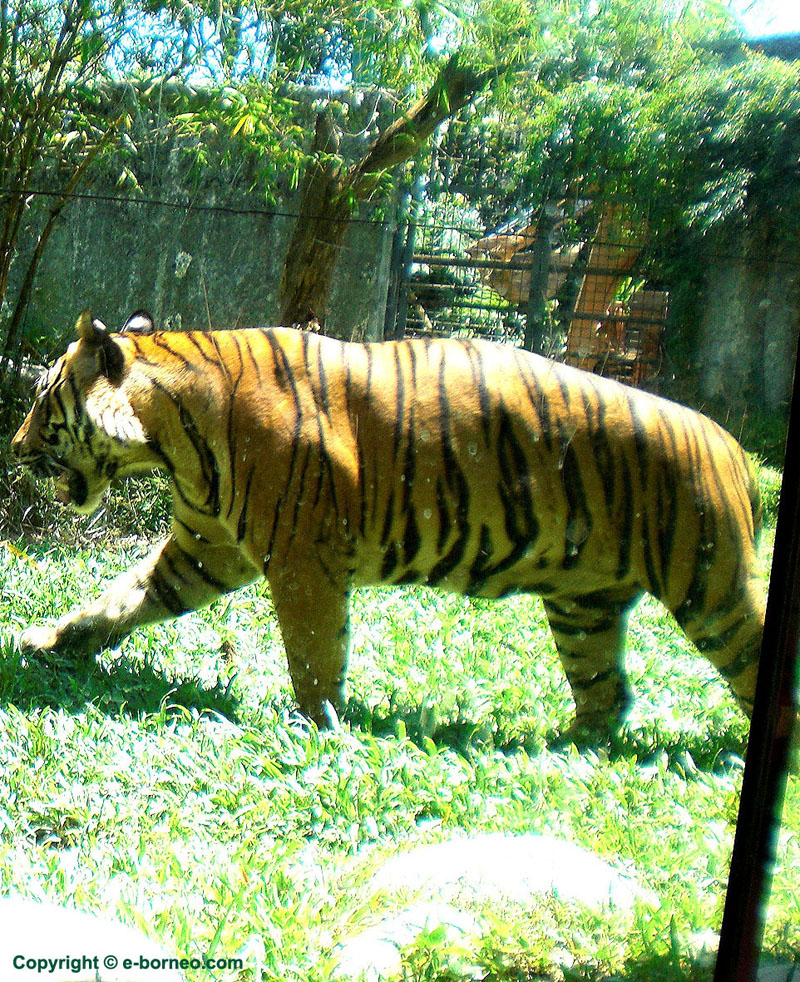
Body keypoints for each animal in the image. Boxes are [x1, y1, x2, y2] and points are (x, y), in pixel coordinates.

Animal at [10, 310, 764, 736]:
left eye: (44, 401)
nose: (14, 449)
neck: (170, 437)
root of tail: (735, 450)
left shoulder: (300, 561)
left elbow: (314, 651)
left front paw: (314, 727)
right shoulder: (204, 549)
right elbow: (124, 598)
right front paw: (48, 642)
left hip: (710, 588)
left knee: (753, 665)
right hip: (584, 609)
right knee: (607, 694)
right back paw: (563, 747)